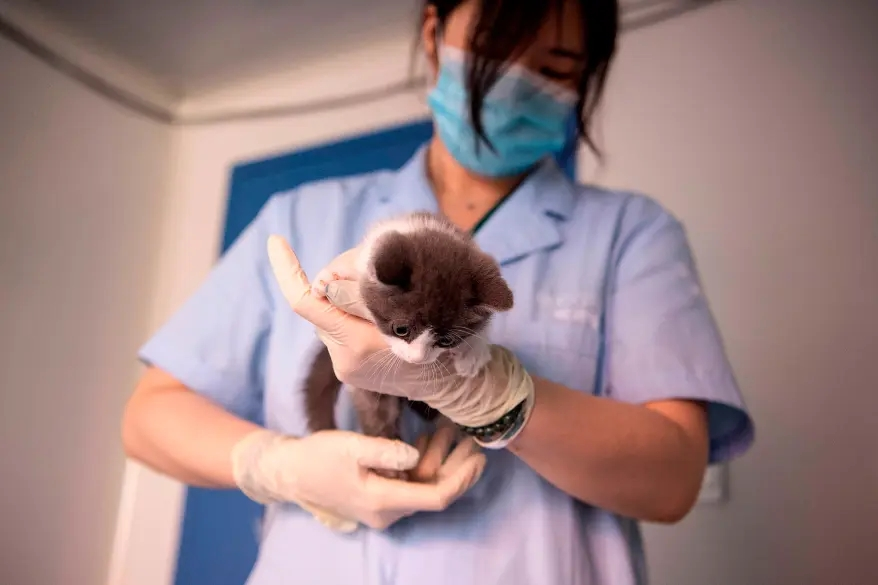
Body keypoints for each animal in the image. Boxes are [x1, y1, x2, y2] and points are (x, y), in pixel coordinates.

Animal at [302, 212, 516, 476]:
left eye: (446, 340)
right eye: (401, 329)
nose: (417, 358)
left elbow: (481, 330)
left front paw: (473, 352)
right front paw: (325, 279)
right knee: (379, 417)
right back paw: (392, 463)